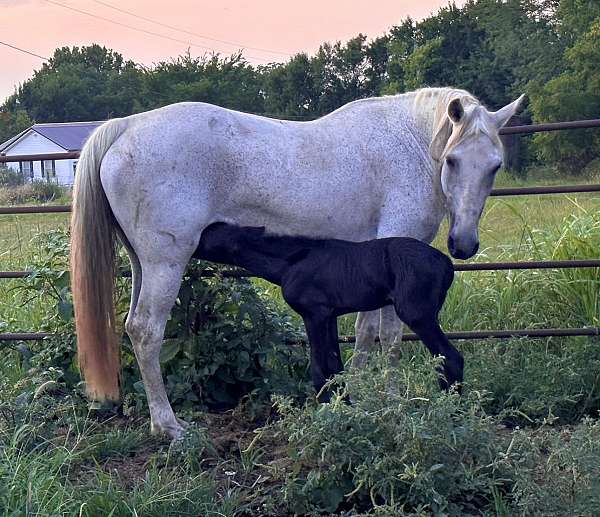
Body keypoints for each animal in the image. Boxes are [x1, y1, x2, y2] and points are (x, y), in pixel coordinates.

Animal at [195, 222, 462, 400]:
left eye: (206, 234)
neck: (293, 260)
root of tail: (446, 264)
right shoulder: (330, 316)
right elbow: (335, 367)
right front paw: (343, 406)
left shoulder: (314, 314)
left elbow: (319, 370)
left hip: (417, 315)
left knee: (451, 358)